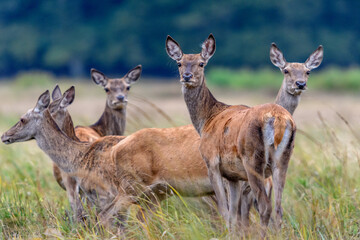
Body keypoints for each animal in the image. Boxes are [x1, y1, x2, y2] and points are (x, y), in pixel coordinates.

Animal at [165, 32, 296, 233]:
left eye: (201, 63)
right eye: (179, 63)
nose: (187, 76)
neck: (206, 121)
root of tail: (279, 119)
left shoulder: (211, 162)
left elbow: (225, 211)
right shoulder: (233, 175)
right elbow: (234, 213)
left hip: (253, 160)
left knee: (265, 206)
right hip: (282, 161)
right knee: (279, 209)